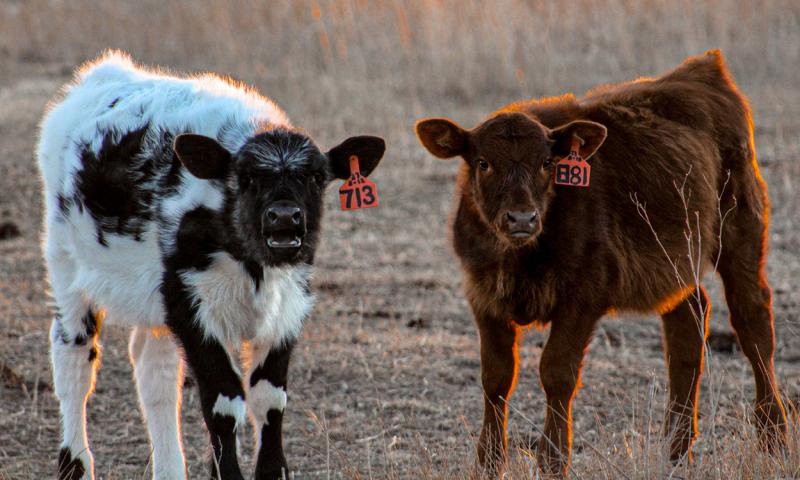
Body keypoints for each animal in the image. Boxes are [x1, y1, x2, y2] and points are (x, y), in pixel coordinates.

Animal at [37, 51, 385, 480]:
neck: (254, 266)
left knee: (155, 372)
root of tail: (103, 72)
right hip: (66, 267)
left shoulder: (288, 307)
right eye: (246, 177)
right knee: (74, 362)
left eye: (317, 177)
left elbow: (270, 399)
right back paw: (75, 463)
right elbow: (223, 402)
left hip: (153, 297)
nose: (285, 219)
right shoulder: (191, 307)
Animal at [415, 50, 787, 476]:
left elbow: (557, 373)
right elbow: (496, 377)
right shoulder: (483, 297)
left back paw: (773, 435)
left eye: (547, 162)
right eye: (482, 162)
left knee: (753, 320)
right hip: (678, 259)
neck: (518, 258)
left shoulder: (584, 297)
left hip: (741, 228)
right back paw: (676, 449)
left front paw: (553, 460)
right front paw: (488, 463)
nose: (522, 218)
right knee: (689, 322)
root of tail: (703, 69)